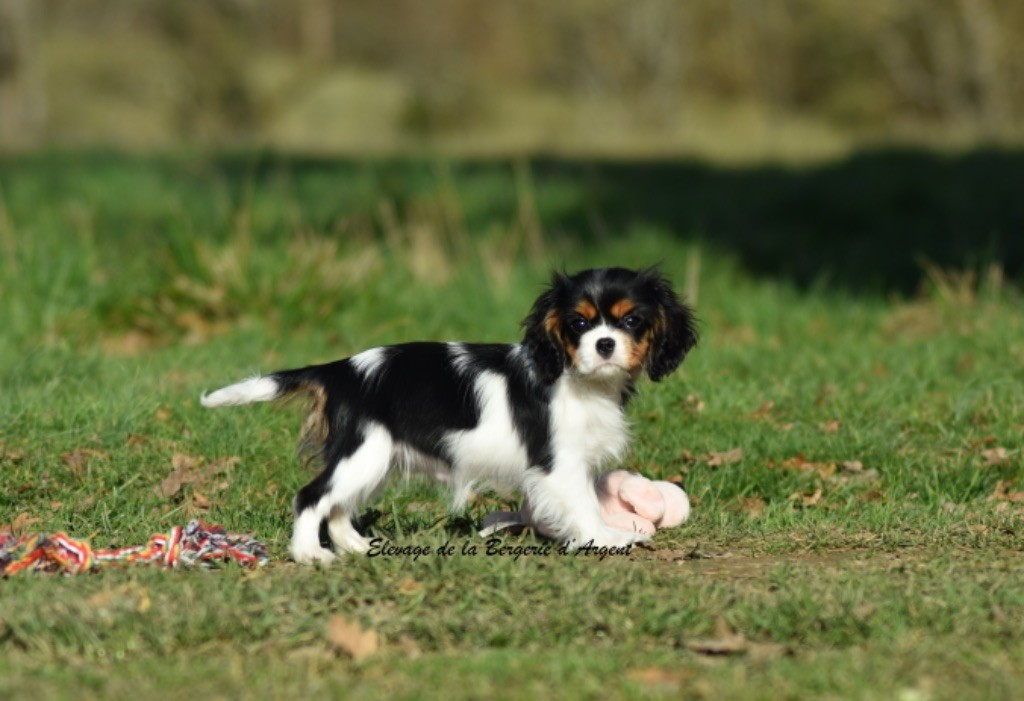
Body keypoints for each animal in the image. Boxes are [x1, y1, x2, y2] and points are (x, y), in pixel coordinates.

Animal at [199, 268, 696, 564]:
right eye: (578, 324)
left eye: (631, 322)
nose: (605, 344)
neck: (581, 379)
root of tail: (341, 369)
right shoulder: (560, 463)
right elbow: (583, 502)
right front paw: (605, 536)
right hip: (365, 452)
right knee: (311, 496)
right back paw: (309, 554)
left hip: (377, 461)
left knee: (338, 505)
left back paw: (357, 545)